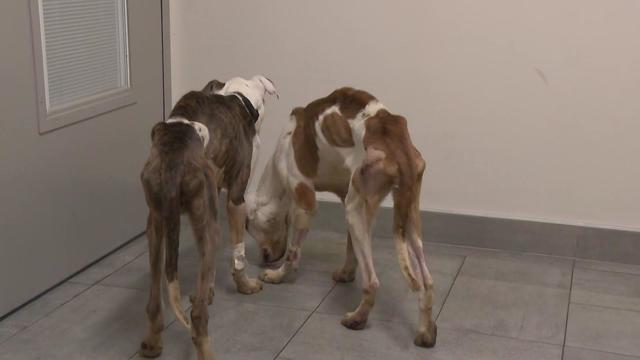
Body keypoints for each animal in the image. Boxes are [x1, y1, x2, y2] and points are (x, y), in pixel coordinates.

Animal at [140, 74, 276, 358]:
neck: (236, 97)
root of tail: (174, 160)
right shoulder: (236, 199)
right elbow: (238, 254)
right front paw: (245, 285)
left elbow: (207, 269)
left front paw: (208, 290)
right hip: (210, 226)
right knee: (198, 317)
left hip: (156, 225)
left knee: (154, 302)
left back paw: (152, 342)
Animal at [245, 86, 436, 346]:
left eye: (249, 227)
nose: (264, 259)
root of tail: (392, 137)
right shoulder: (349, 197)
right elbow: (350, 248)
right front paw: (346, 273)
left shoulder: (305, 202)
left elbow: (293, 253)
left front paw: (278, 276)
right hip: (406, 216)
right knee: (427, 282)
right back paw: (425, 332)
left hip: (355, 211)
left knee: (372, 282)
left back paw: (357, 319)